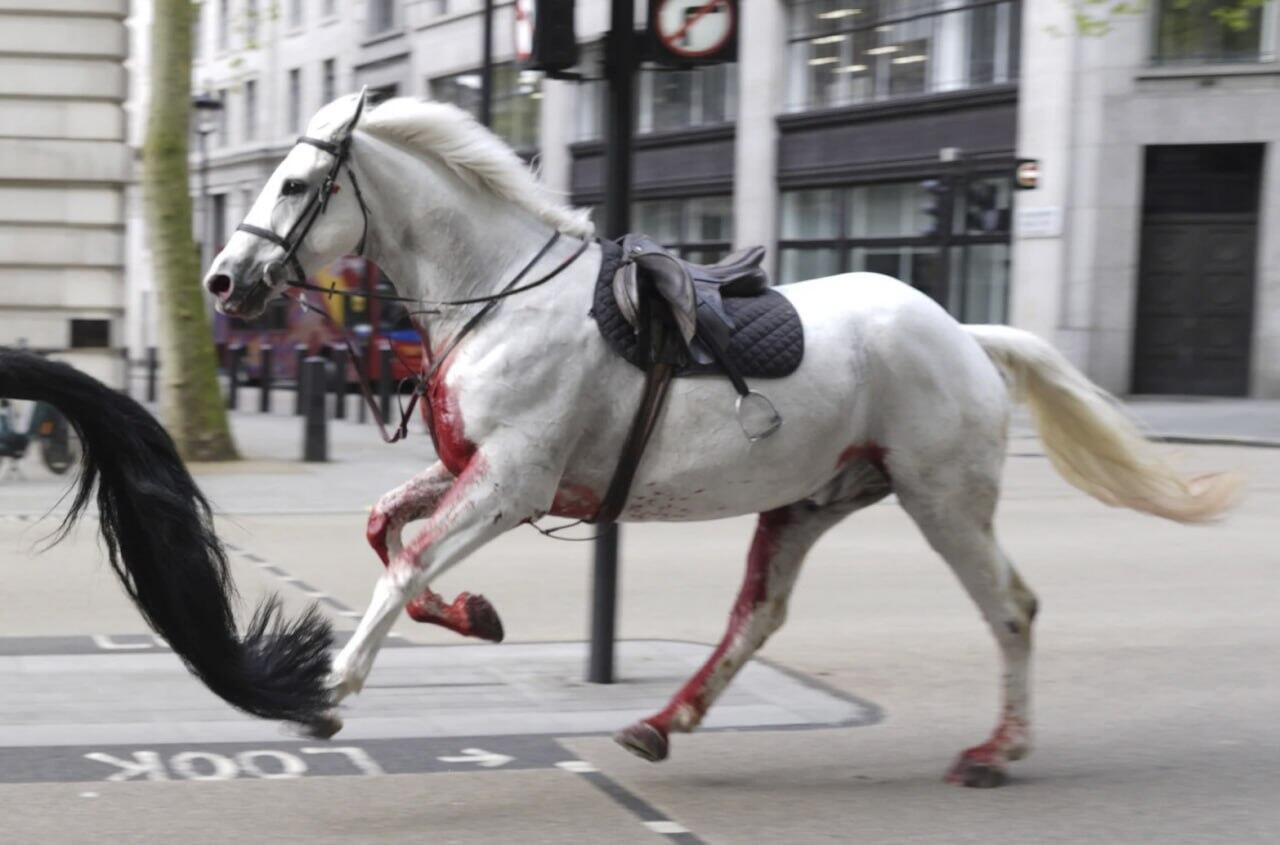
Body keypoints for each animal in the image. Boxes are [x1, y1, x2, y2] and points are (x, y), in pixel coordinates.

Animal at [204, 96, 1233, 788]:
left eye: (296, 183)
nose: (221, 280)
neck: (498, 297)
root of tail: (965, 334)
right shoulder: (476, 469)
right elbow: (386, 530)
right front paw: (473, 613)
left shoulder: (511, 481)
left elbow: (407, 560)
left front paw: (331, 689)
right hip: (810, 501)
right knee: (757, 616)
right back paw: (666, 720)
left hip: (943, 499)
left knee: (1011, 608)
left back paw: (996, 748)